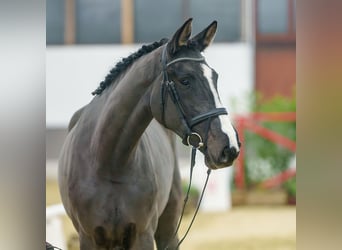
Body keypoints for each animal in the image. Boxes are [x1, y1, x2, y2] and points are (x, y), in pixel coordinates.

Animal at [58, 18, 240, 250]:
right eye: (185, 80)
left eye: (215, 78)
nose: (229, 146)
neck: (108, 162)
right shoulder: (89, 237)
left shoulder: (142, 234)